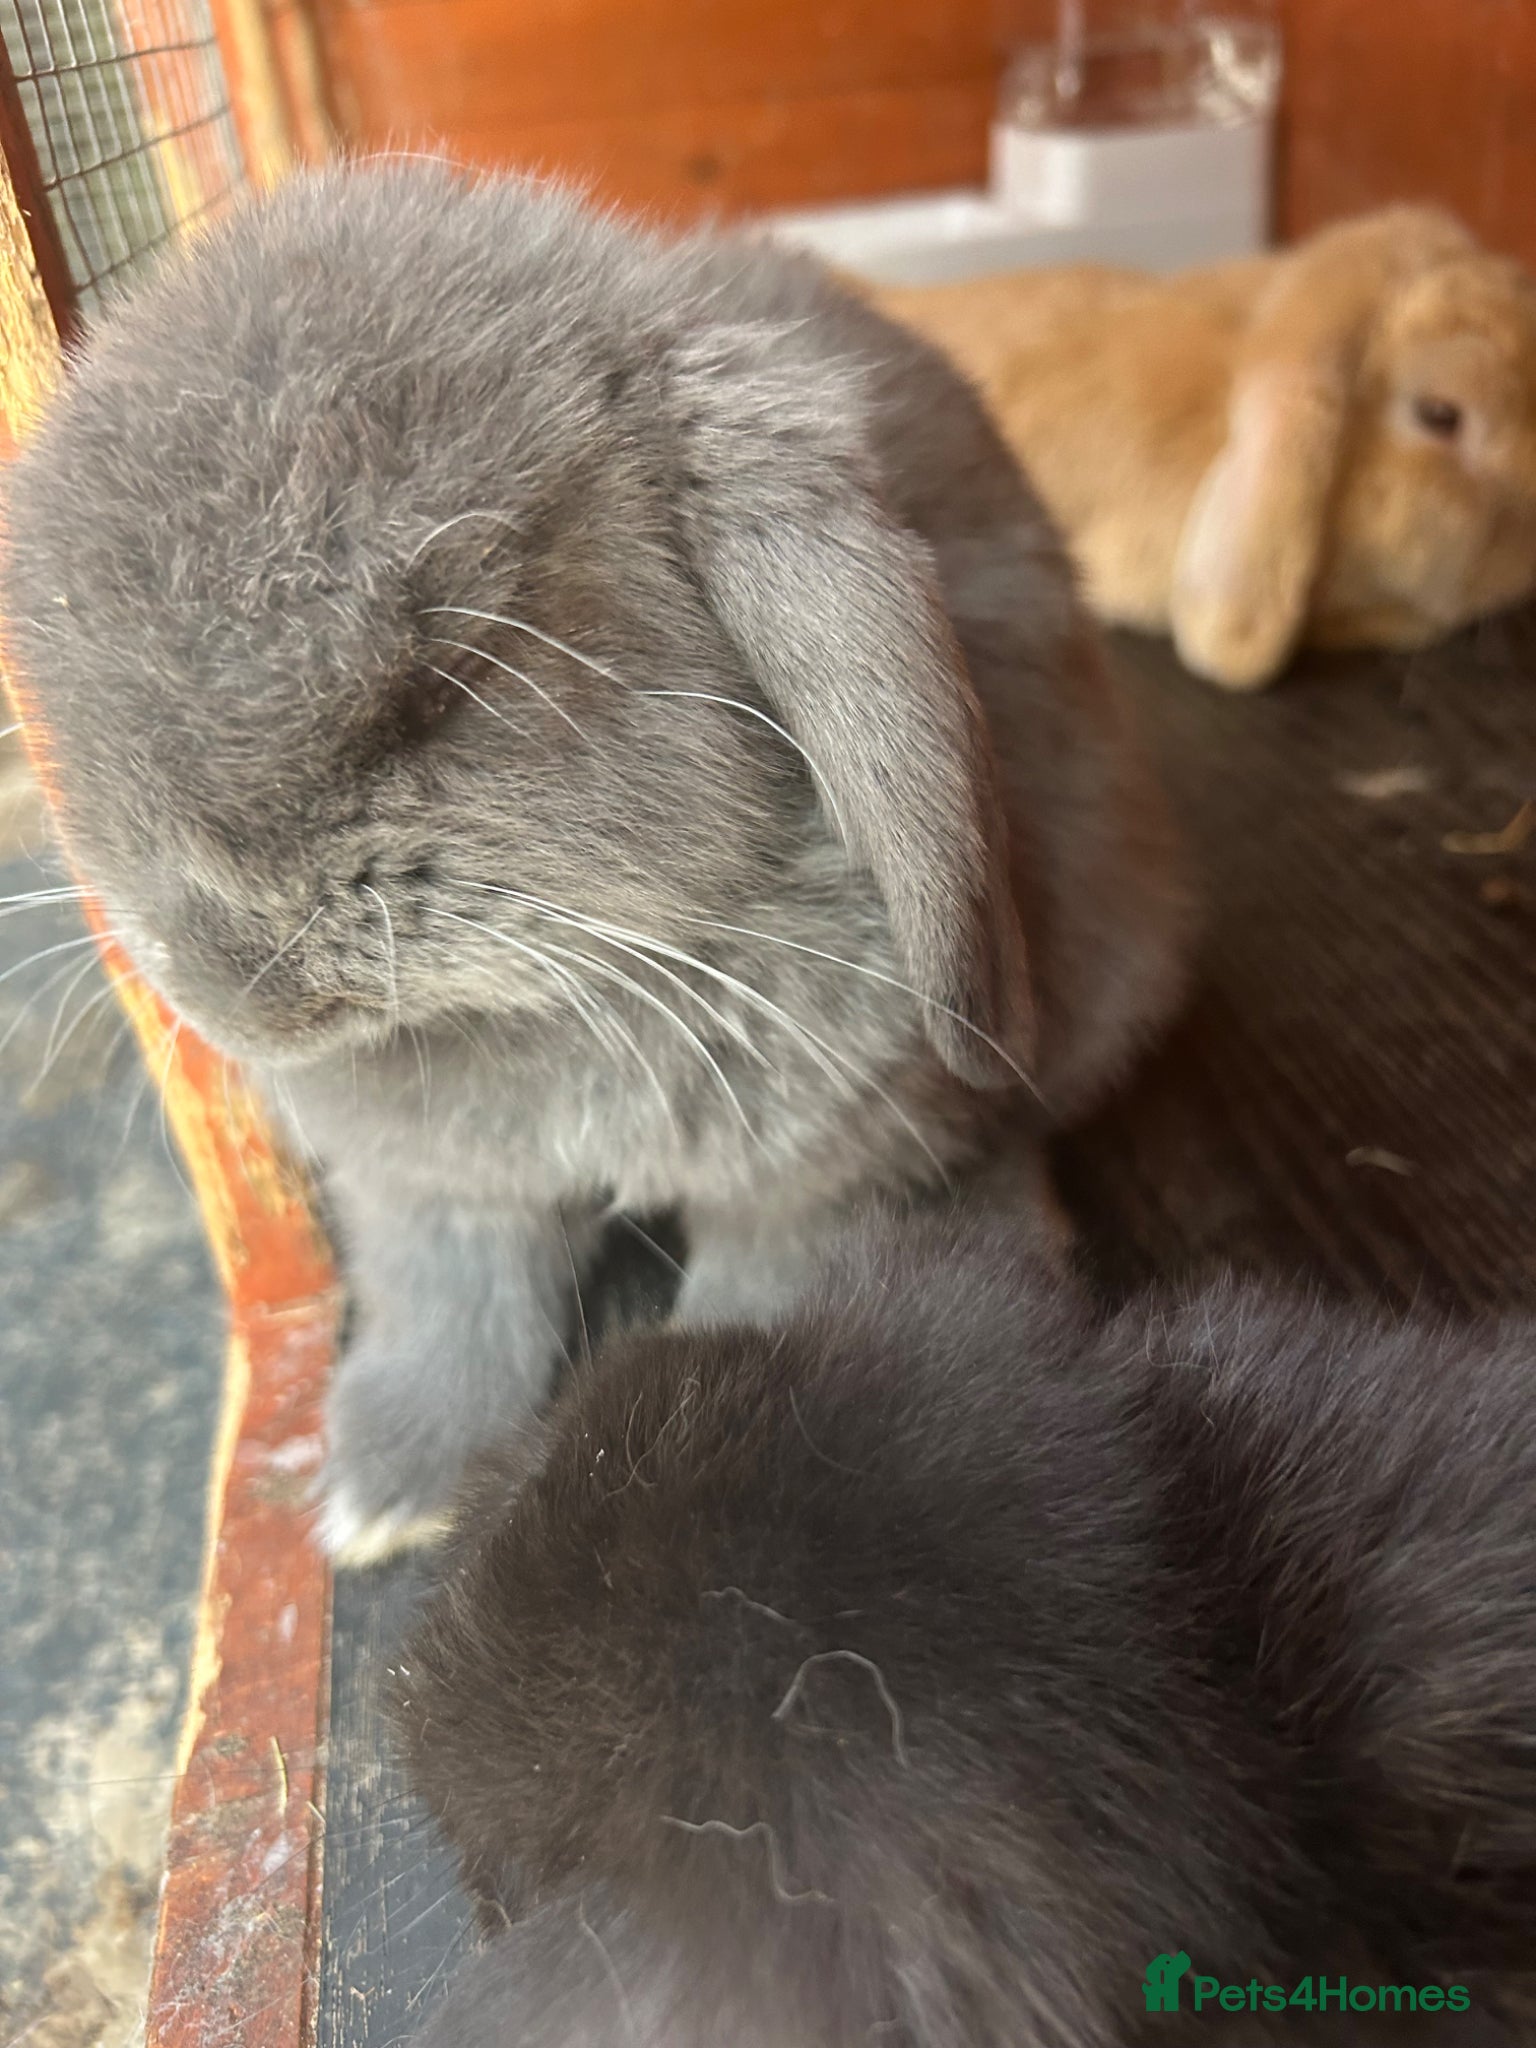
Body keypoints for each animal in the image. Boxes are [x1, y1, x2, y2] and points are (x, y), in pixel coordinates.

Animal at [0, 162, 1190, 1562]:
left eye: (454, 674)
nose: (227, 976)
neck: (561, 1003)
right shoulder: (435, 1195)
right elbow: (451, 1311)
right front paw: (380, 1497)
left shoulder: (817, 1179)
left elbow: (757, 1299)